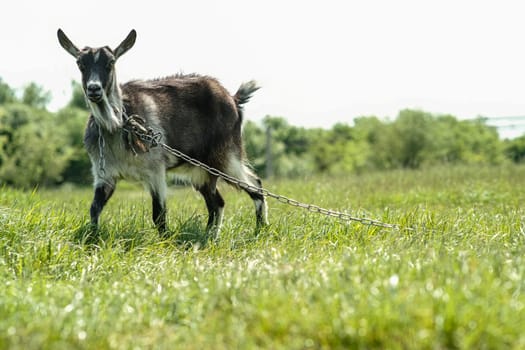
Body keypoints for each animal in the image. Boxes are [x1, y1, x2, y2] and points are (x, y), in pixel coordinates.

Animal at [57, 29, 268, 238]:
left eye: (110, 62)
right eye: (80, 63)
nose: (94, 89)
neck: (117, 125)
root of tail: (233, 99)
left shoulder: (155, 171)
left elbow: (159, 214)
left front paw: (165, 241)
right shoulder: (105, 176)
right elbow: (94, 208)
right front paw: (91, 238)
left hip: (226, 156)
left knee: (255, 185)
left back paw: (260, 229)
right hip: (200, 170)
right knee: (217, 202)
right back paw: (209, 236)